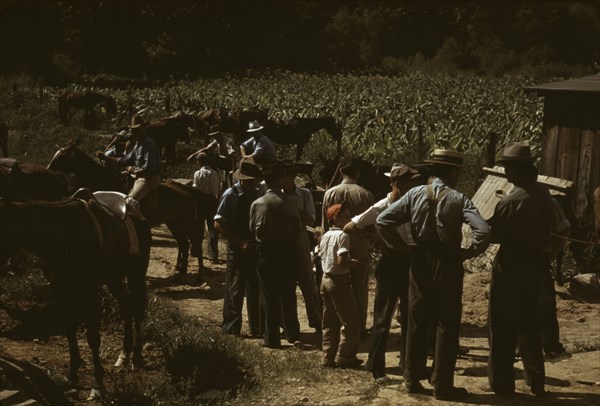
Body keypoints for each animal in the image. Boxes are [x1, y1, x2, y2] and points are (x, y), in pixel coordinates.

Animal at [0, 193, 152, 400]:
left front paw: (98, 384)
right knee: (126, 305)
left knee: (137, 309)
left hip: (136, 273)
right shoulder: (60, 290)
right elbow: (70, 331)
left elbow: (93, 337)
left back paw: (136, 356)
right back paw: (124, 353)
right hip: (113, 278)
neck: (64, 237)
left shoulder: (89, 292)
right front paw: (72, 374)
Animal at [47, 140, 216, 276]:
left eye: (62, 156)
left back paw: (199, 274)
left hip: (186, 223)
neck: (106, 180)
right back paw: (180, 272)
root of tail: (189, 192)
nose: (48, 168)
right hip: (173, 223)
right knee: (184, 244)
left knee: (193, 243)